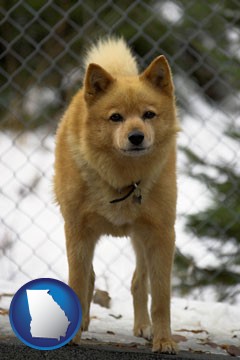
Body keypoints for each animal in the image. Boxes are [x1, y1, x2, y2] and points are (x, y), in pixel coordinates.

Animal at [53, 38, 179, 352]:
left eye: (149, 114)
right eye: (115, 117)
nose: (136, 137)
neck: (123, 181)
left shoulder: (162, 235)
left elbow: (161, 298)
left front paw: (164, 340)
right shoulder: (78, 232)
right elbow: (78, 283)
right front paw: (73, 335)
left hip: (141, 238)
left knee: (138, 282)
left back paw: (143, 327)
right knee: (90, 278)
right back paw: (84, 322)